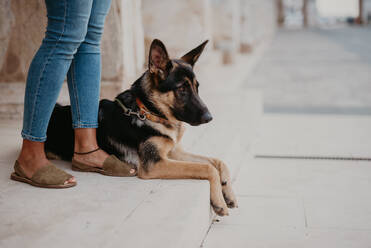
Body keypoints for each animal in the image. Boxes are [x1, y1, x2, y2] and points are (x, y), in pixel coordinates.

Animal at [45, 38, 238, 215]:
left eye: (197, 87)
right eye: (182, 89)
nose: (209, 118)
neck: (148, 111)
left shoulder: (174, 152)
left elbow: (218, 161)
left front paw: (228, 191)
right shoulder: (154, 164)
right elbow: (206, 167)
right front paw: (219, 200)